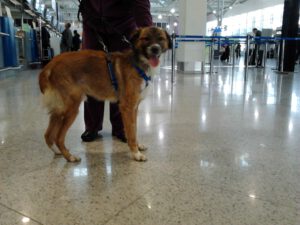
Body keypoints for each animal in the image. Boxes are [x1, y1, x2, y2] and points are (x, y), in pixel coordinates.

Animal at [38, 26, 172, 162]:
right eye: (146, 38)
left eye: (161, 39)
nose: (155, 48)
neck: (138, 62)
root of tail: (51, 64)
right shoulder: (127, 107)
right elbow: (131, 132)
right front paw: (136, 153)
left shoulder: (134, 107)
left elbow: (134, 129)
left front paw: (137, 147)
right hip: (71, 108)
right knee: (58, 137)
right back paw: (70, 157)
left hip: (60, 109)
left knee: (48, 135)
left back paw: (57, 152)